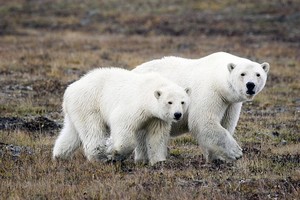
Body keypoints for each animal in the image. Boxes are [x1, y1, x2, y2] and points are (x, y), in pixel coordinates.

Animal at [52, 68, 190, 165]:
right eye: (170, 102)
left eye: (183, 102)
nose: (177, 114)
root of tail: (70, 89)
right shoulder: (134, 106)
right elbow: (123, 125)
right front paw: (115, 153)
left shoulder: (156, 118)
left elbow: (157, 136)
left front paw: (159, 161)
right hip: (89, 104)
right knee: (93, 130)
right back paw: (100, 156)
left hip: (76, 109)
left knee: (71, 133)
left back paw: (59, 156)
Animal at [134, 51, 270, 162]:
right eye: (242, 74)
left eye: (258, 74)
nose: (250, 85)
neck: (218, 79)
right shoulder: (210, 91)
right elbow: (203, 120)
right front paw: (236, 152)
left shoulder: (230, 103)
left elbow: (227, 122)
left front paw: (217, 157)